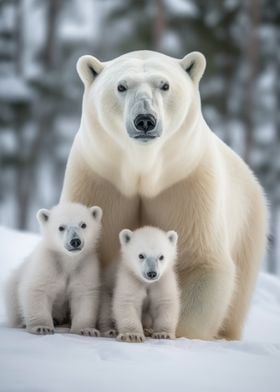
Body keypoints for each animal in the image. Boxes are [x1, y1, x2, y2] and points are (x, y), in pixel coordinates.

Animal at [60, 51, 266, 340]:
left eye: (165, 85)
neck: (143, 170)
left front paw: (164, 329)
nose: (145, 120)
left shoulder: (187, 186)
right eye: (121, 86)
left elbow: (200, 261)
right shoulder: (99, 182)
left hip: (248, 227)